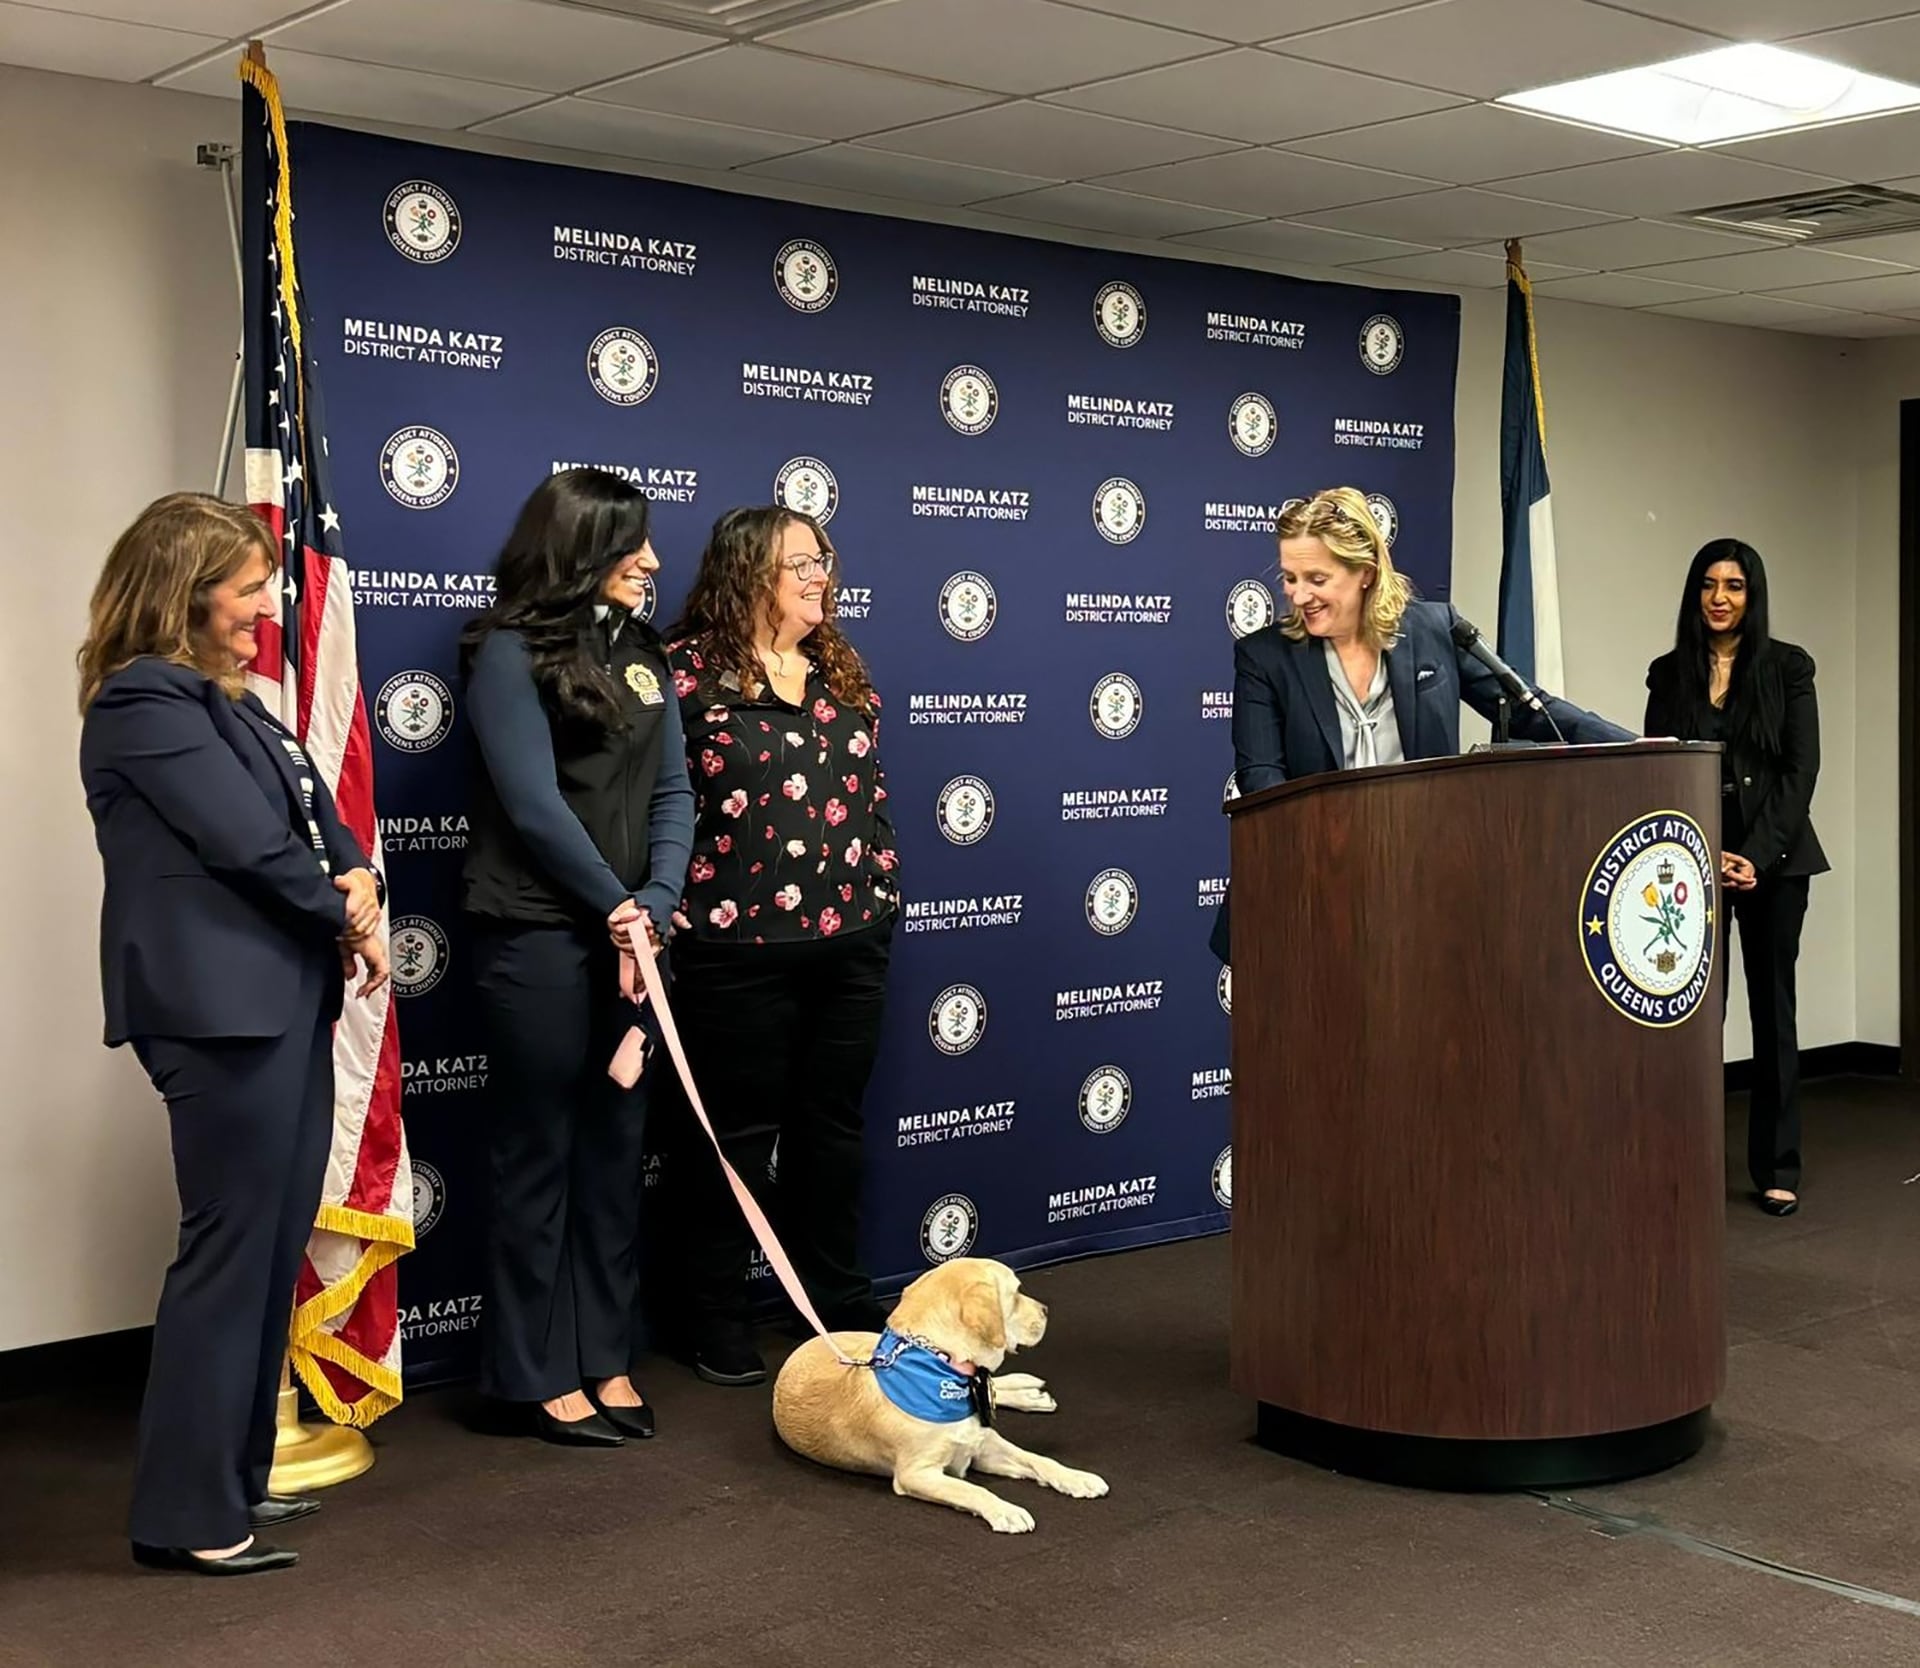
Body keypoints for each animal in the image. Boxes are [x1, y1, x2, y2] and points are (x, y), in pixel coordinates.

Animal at [771, 1251, 1113, 1535]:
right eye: (1016, 1294)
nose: (1045, 1310)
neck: (941, 1366)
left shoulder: (985, 1444)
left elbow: (1038, 1459)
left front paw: (1076, 1477)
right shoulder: (918, 1473)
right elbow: (972, 1489)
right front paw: (1005, 1510)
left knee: (994, 1386)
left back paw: (1027, 1393)